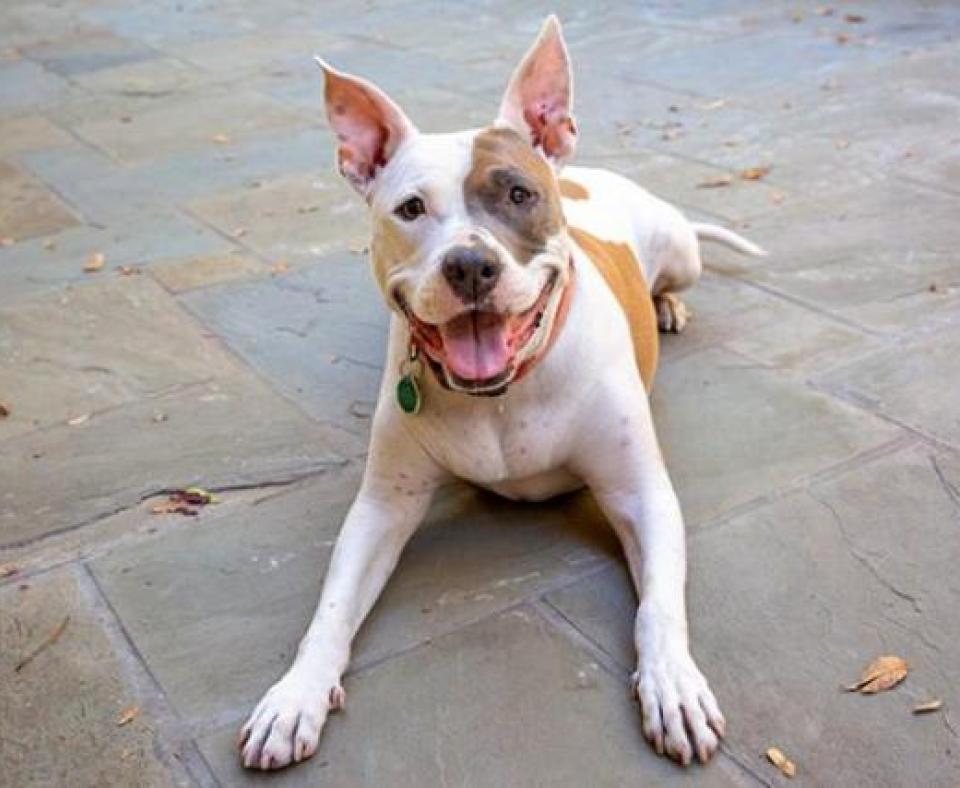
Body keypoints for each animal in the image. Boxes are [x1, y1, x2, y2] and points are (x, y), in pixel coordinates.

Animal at [238, 16, 764, 768]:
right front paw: (294, 696)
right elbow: (330, 610)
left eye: (517, 194)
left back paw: (667, 305)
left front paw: (674, 685)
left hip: (683, 251)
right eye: (410, 208)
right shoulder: (382, 507)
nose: (470, 264)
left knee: (676, 276)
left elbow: (659, 605)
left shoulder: (641, 492)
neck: (504, 392)